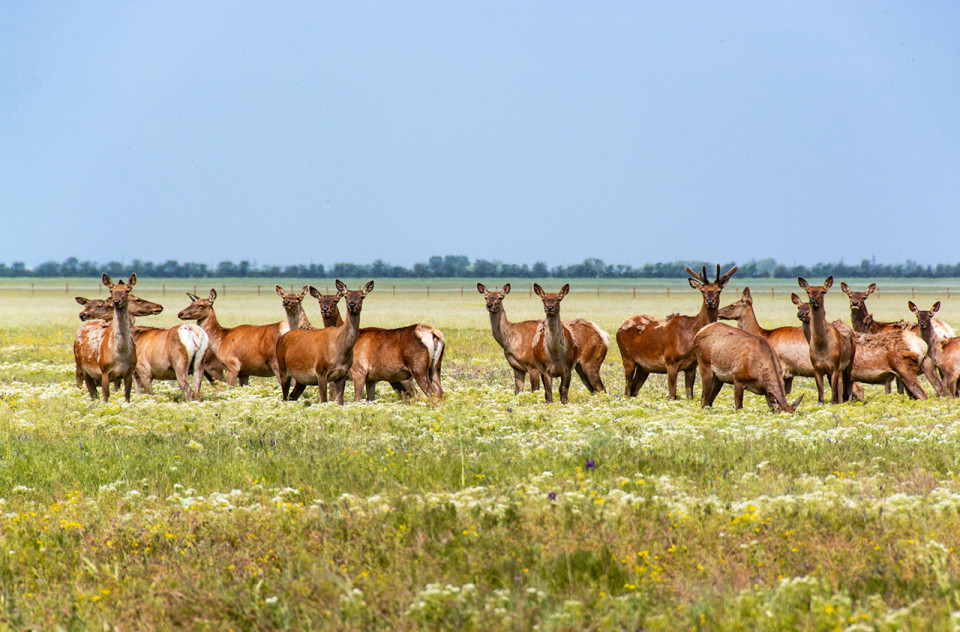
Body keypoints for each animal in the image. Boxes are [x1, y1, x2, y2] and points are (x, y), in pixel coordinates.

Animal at [620, 264, 740, 398]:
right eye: (702, 290)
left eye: (719, 290)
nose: (710, 301)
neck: (691, 336)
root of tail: (620, 326)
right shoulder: (670, 361)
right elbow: (672, 395)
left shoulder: (691, 366)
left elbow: (690, 396)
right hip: (627, 357)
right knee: (627, 390)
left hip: (644, 367)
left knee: (633, 390)